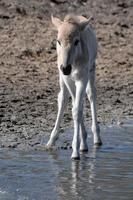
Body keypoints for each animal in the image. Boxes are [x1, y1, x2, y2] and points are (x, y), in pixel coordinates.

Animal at [46, 13, 102, 159]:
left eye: (76, 41)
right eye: (58, 41)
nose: (65, 68)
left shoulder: (82, 78)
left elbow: (77, 109)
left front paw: (76, 151)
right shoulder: (68, 79)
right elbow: (75, 107)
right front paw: (82, 145)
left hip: (91, 71)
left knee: (91, 94)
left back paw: (97, 138)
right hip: (62, 79)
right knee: (63, 98)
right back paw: (51, 140)